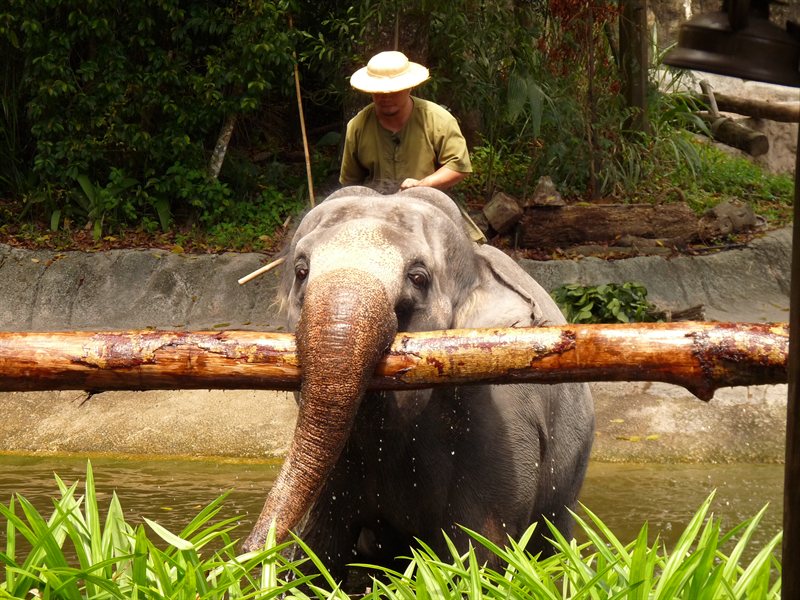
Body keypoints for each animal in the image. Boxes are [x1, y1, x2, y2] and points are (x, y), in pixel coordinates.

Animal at [242, 186, 594, 585]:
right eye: (301, 271)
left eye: (418, 278)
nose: (245, 556)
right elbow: (317, 548)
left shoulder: (501, 421)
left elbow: (480, 548)